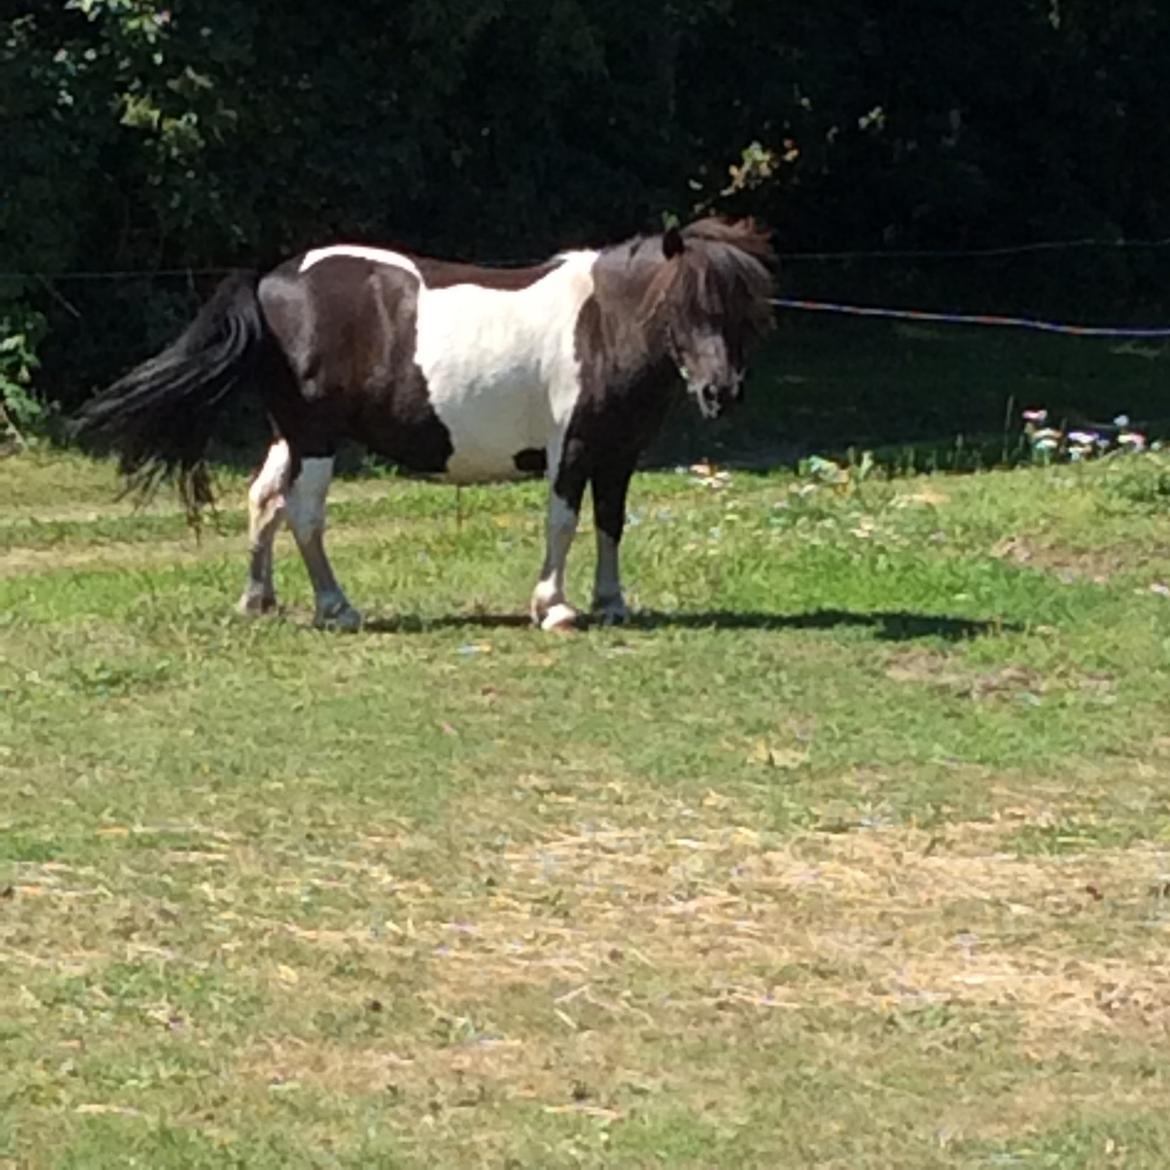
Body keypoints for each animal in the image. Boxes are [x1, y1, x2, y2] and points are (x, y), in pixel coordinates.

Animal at [80, 214, 776, 627]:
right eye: (687, 306)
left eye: (742, 311)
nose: (721, 392)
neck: (603, 320)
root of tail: (271, 280)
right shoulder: (572, 447)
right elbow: (563, 522)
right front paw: (554, 607)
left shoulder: (618, 452)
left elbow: (610, 522)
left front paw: (612, 602)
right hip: (317, 439)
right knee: (303, 514)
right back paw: (336, 607)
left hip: (295, 437)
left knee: (264, 501)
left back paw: (259, 599)